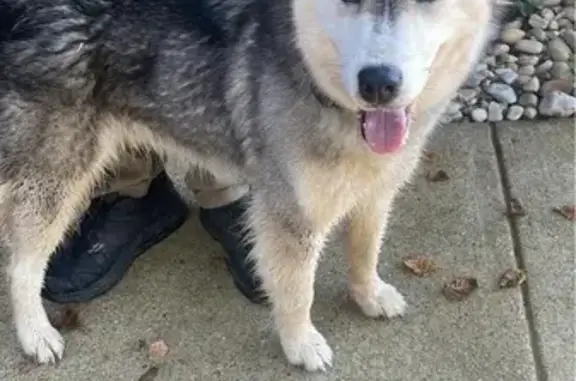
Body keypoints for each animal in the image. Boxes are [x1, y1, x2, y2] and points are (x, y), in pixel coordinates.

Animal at [1, 0, 500, 372]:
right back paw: (35, 333)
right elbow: (299, 291)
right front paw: (301, 344)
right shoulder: (291, 212)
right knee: (22, 266)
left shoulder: (377, 189)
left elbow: (365, 249)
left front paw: (368, 294)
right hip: (58, 175)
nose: (378, 83)